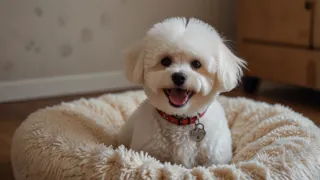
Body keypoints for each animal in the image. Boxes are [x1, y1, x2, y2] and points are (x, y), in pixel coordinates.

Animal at [117, 17, 245, 168]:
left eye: (196, 64)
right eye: (165, 61)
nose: (179, 76)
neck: (180, 120)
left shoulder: (214, 160)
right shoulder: (149, 151)